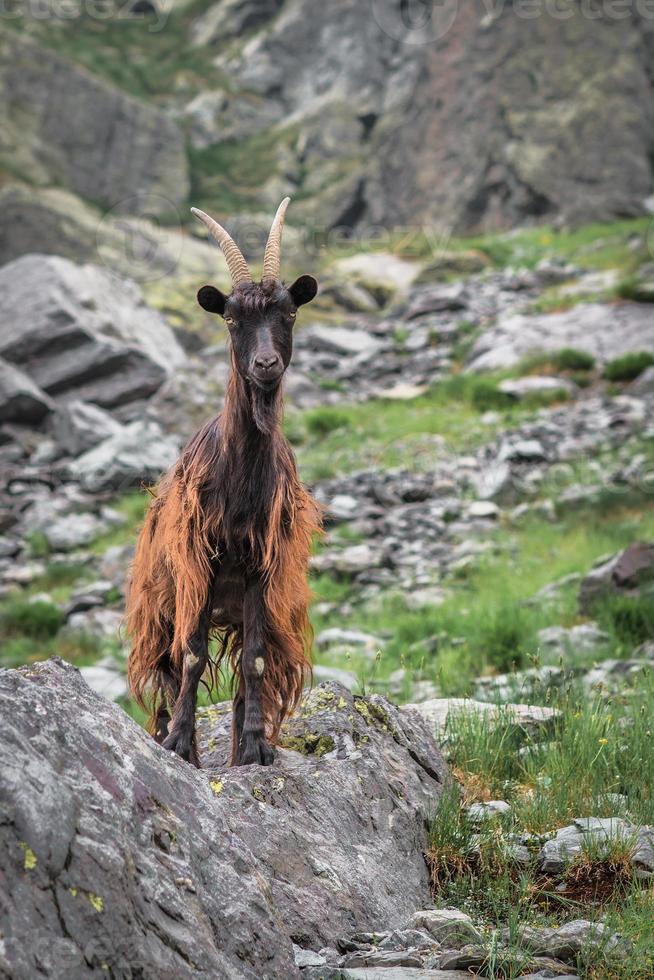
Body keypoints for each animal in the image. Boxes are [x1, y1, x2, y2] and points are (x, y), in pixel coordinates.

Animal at [126, 199, 322, 764]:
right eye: (232, 318)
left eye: (289, 312)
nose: (266, 363)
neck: (239, 482)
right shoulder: (199, 564)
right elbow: (191, 657)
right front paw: (179, 746)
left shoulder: (261, 569)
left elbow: (253, 661)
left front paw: (255, 749)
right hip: (162, 606)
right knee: (169, 670)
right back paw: (169, 735)